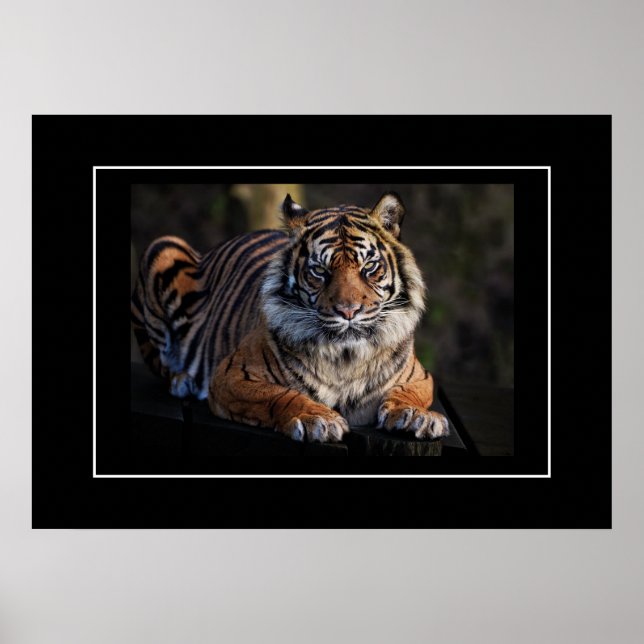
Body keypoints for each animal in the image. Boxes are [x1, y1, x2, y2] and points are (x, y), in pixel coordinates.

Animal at [131, 192, 449, 444]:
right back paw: (182, 380)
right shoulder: (231, 375)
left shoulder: (419, 376)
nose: (348, 311)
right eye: (320, 271)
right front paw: (317, 419)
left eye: (369, 267)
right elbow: (280, 394)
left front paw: (416, 416)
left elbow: (407, 393)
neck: (346, 357)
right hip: (163, 247)